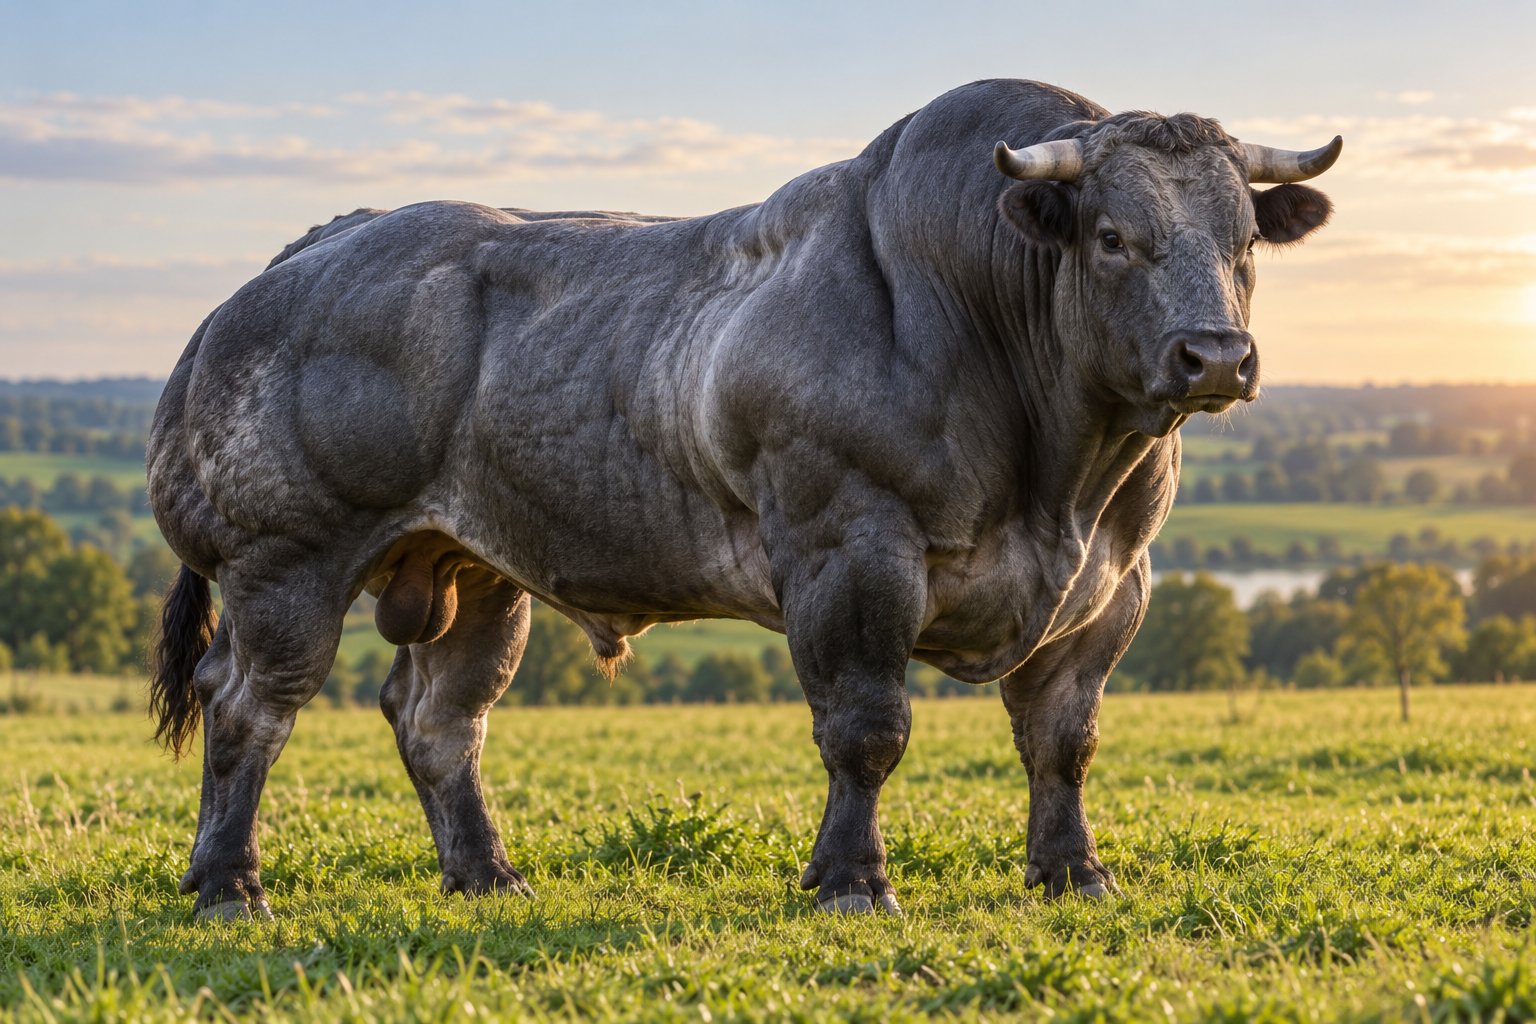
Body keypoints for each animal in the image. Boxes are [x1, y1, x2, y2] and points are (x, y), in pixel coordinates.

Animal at [147, 79, 1339, 920]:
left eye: (1244, 243)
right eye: (1111, 236)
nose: (1216, 355)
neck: (1057, 474)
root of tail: (316, 245)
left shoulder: (1113, 585)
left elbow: (1064, 739)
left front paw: (1072, 872)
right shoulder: (849, 549)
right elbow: (866, 730)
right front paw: (852, 879)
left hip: (475, 571)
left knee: (439, 718)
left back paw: (486, 874)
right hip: (285, 560)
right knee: (249, 703)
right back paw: (228, 884)